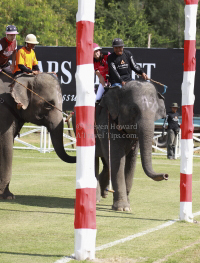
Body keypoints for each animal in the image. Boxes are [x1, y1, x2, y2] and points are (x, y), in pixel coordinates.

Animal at [93, 80, 168, 212]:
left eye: (155, 112)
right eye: (134, 109)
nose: (166, 175)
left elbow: (130, 162)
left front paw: (127, 204)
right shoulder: (106, 121)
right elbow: (118, 160)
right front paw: (123, 208)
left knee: (106, 163)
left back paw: (104, 193)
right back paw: (96, 199)